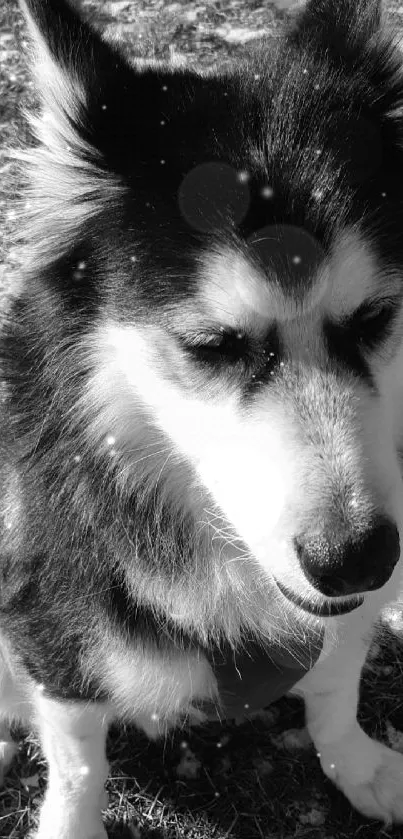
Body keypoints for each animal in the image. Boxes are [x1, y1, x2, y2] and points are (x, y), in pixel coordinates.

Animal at [2, 0, 403, 832]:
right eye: (212, 345)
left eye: (376, 317)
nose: (357, 557)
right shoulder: (54, 631)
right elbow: (80, 762)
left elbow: (335, 680)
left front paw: (356, 764)